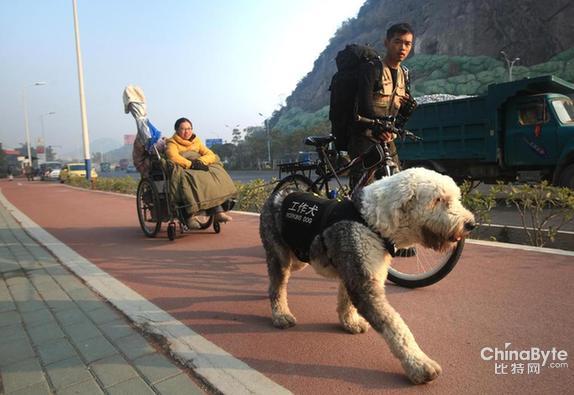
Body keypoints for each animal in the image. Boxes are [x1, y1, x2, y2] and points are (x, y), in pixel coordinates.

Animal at [260, 169, 476, 386]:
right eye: (438, 200)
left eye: (456, 198)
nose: (471, 224)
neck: (371, 222)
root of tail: (277, 193)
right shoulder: (364, 284)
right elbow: (395, 325)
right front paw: (420, 365)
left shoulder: (357, 271)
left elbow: (346, 300)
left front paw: (350, 323)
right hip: (280, 254)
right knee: (277, 285)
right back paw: (281, 315)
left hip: (298, 258)